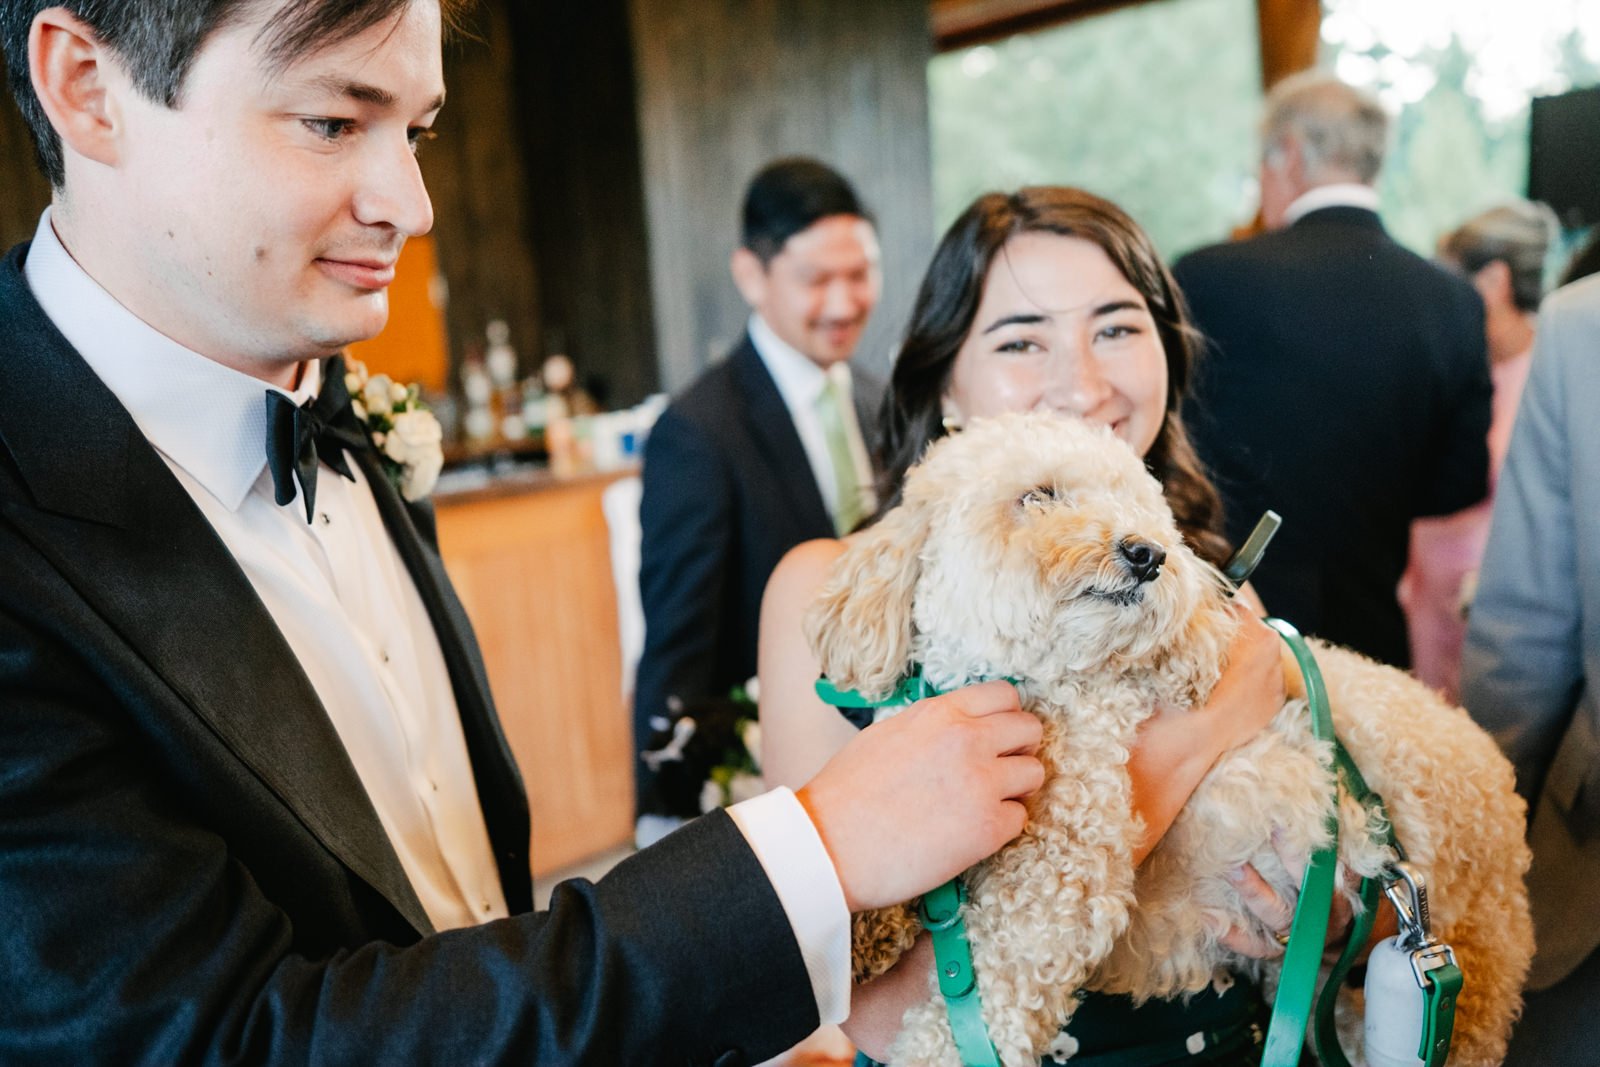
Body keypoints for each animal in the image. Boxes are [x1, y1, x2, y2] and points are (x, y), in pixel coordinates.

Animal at [812, 412, 1536, 1062]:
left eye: (1140, 508)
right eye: (1038, 494)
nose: (1147, 553)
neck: (1028, 682)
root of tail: (1500, 776)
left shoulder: (1058, 874)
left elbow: (981, 999)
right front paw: (860, 927)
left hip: (1467, 971)